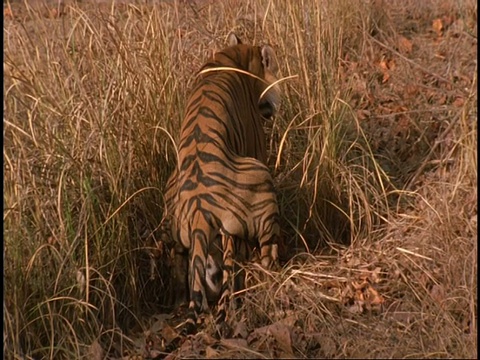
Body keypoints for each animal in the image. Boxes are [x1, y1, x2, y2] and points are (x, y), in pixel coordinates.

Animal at [161, 32, 282, 336]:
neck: (238, 55)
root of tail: (199, 207)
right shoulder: (257, 146)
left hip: (174, 221)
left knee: (184, 268)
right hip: (261, 180)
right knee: (266, 252)